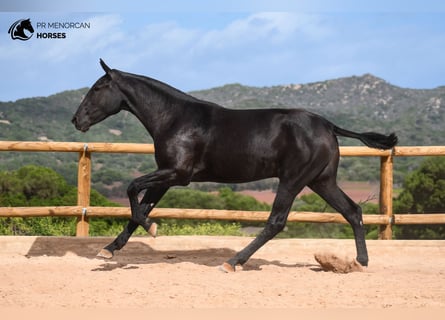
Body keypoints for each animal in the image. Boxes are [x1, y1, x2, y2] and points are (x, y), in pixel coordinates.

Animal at [71, 58, 398, 272]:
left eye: (97, 88)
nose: (76, 119)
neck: (175, 118)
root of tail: (328, 125)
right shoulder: (166, 177)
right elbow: (140, 208)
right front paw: (109, 250)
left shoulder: (177, 174)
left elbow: (131, 188)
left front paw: (151, 230)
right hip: (322, 181)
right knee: (352, 212)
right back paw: (361, 262)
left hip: (293, 180)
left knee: (276, 222)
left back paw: (233, 262)